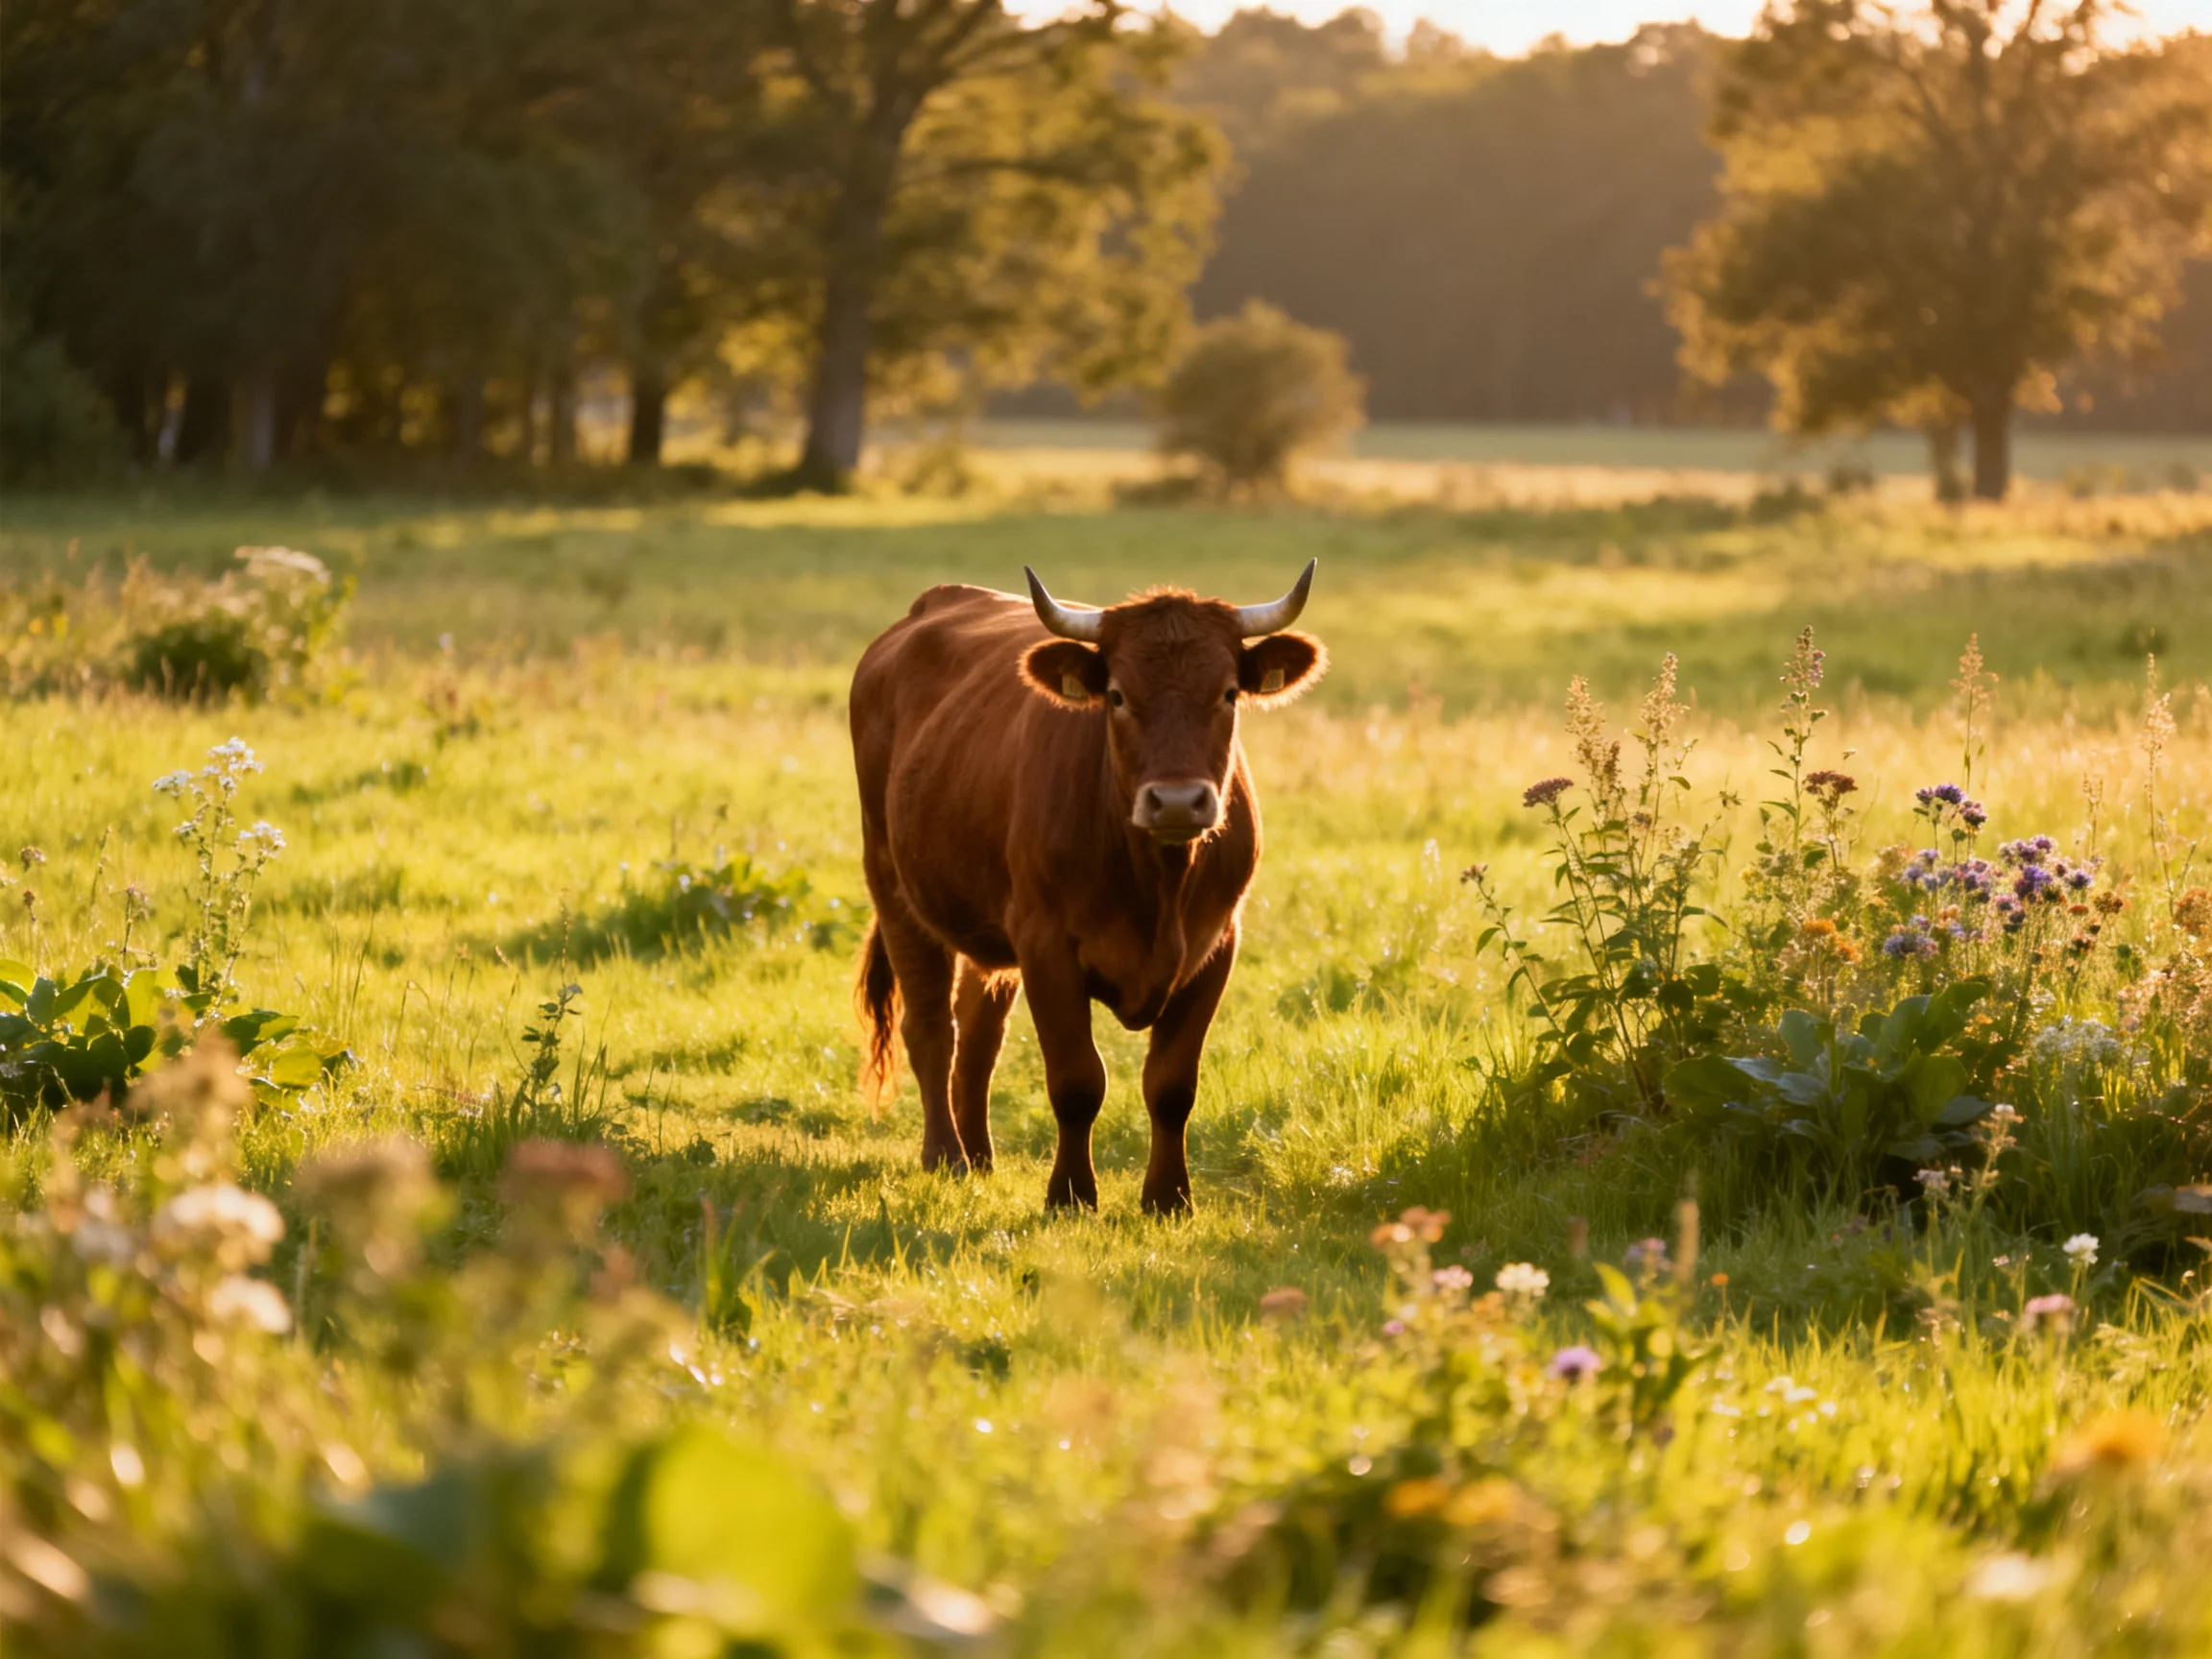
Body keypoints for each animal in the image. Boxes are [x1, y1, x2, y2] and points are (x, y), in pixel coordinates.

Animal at [848, 562, 1326, 1214]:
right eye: (1118, 696)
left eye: (1229, 693)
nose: (1178, 801)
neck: (1157, 885)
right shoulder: (1046, 944)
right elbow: (1077, 1080)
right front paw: (1071, 1195)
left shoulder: (1217, 945)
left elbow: (1172, 1084)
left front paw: (1168, 1198)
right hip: (895, 889)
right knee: (932, 1032)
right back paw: (945, 1156)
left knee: (979, 1039)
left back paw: (979, 1156)